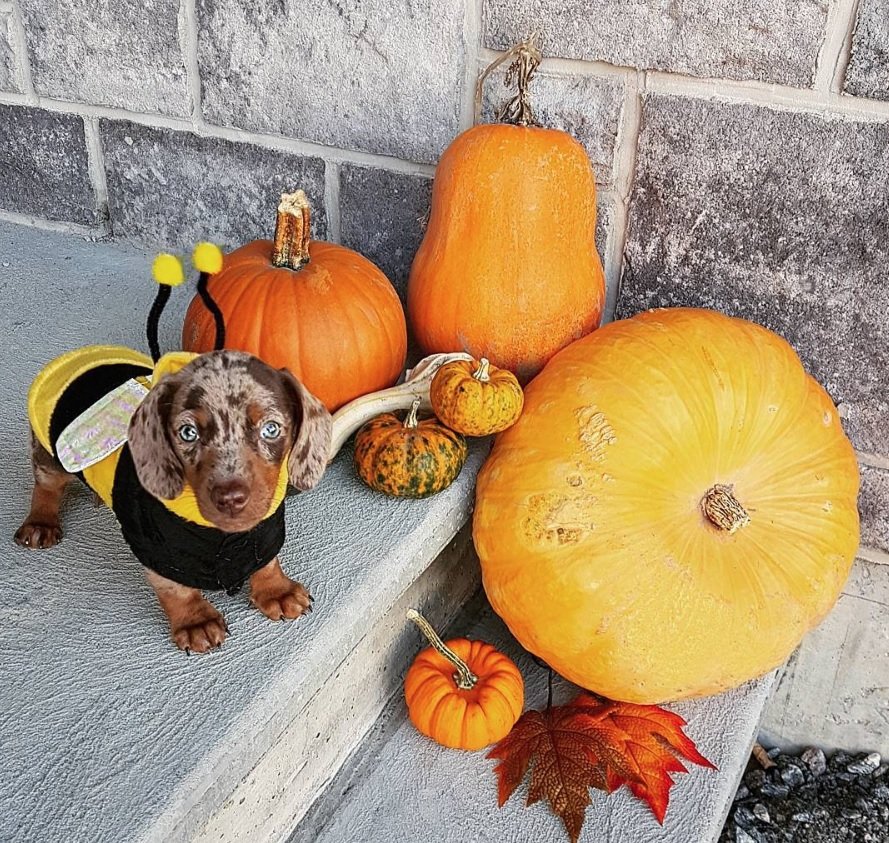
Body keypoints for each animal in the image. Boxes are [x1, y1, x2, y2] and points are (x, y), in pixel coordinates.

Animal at [13, 350, 332, 652]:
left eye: (271, 429)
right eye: (188, 433)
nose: (231, 499)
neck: (223, 534)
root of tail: (78, 356)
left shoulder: (265, 529)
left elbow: (266, 561)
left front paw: (277, 590)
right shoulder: (155, 543)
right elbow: (174, 588)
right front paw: (196, 621)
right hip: (51, 458)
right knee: (46, 486)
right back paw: (40, 522)